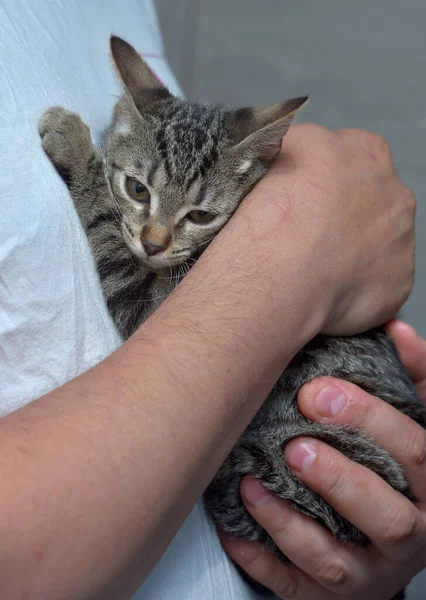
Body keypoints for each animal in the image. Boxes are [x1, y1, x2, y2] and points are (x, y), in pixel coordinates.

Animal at [39, 36, 426, 552]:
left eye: (201, 216)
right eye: (138, 189)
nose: (153, 243)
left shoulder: (150, 307)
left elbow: (106, 226)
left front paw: (75, 144)